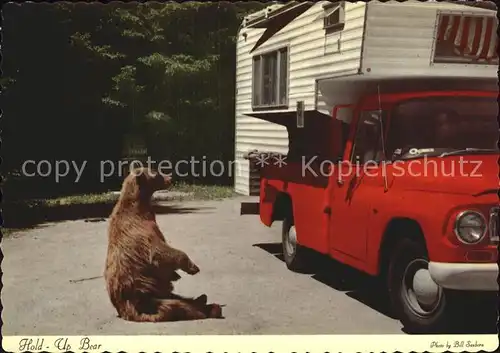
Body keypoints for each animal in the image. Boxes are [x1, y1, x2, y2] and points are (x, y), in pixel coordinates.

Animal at [104, 166, 223, 320]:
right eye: (156, 173)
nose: (170, 177)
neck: (139, 206)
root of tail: (124, 309)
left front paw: (175, 274)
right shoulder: (145, 232)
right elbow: (160, 251)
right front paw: (192, 267)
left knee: (179, 299)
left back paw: (203, 299)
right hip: (146, 298)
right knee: (178, 306)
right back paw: (208, 309)